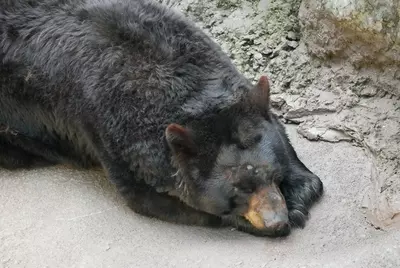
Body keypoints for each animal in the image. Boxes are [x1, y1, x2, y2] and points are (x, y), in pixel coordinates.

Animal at [0, 0, 324, 237]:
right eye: (238, 189)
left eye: (273, 174)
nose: (276, 220)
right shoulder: (102, 127)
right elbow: (147, 198)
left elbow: (279, 132)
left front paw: (299, 192)